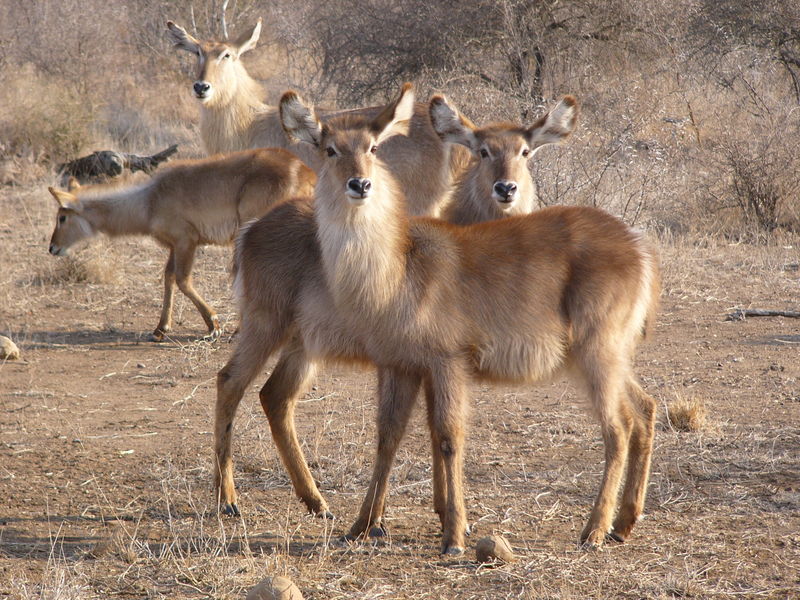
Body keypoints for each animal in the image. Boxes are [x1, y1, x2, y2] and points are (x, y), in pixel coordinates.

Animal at [46, 148, 316, 340]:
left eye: (62, 217)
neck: (149, 199)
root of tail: (306, 172)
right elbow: (168, 277)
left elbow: (183, 279)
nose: (52, 248)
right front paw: (160, 328)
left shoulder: (187, 241)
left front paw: (213, 324)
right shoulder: (174, 246)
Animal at [212, 91, 576, 536]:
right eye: (483, 150)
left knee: (275, 396)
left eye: (525, 151)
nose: (506, 188)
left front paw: (440, 512)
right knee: (230, 383)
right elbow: (419, 430)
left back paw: (316, 501)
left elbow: (431, 428)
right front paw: (427, 518)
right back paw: (228, 499)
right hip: (265, 325)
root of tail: (252, 229)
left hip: (303, 344)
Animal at [282, 83, 664, 552]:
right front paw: (361, 525)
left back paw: (593, 530)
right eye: (330, 148)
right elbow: (388, 437)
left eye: (373, 147)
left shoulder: (448, 361)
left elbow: (449, 438)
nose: (360, 184)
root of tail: (637, 244)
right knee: (644, 410)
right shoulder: (399, 364)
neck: (397, 265)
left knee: (618, 429)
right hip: (608, 356)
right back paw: (624, 524)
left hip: (598, 354)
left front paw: (454, 533)